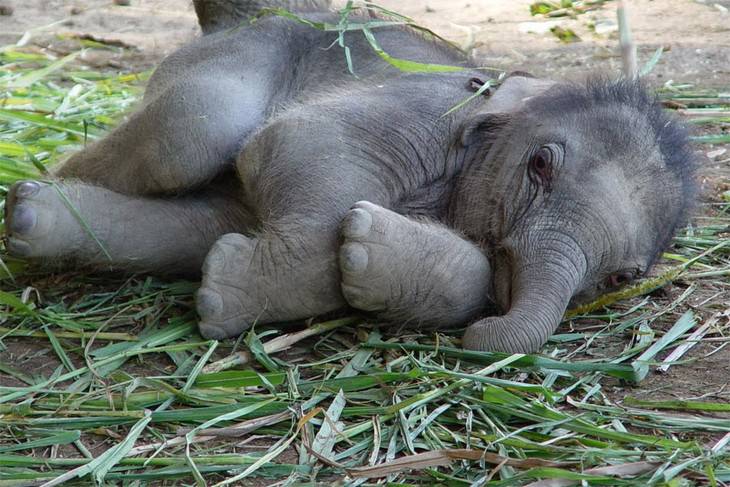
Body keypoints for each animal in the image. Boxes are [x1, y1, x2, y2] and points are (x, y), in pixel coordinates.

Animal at [1, 2, 692, 354]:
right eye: (540, 165)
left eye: (621, 278)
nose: (479, 338)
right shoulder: (422, 110)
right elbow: (297, 141)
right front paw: (225, 301)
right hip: (241, 53)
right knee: (190, 133)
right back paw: (29, 203)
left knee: (192, 223)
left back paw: (34, 219)